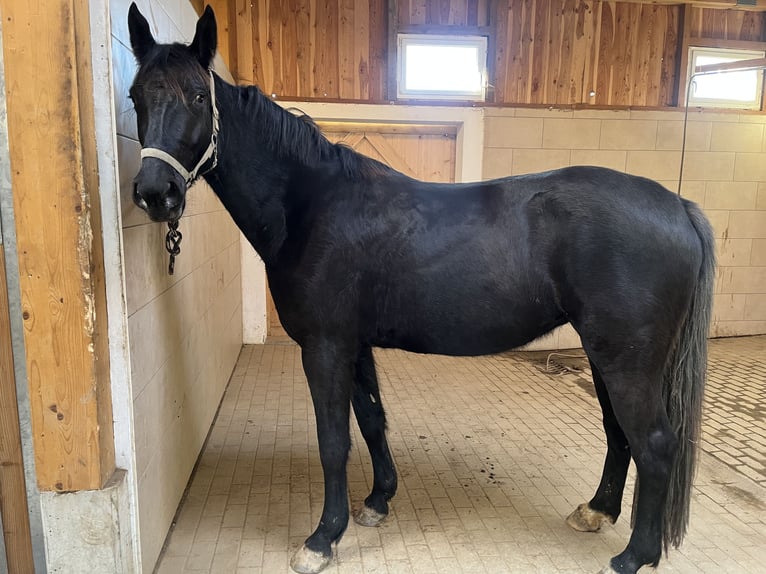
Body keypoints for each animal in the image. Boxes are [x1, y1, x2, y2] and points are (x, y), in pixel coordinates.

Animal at [127, 5, 720, 574]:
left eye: (198, 95)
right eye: (136, 96)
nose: (156, 193)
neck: (312, 204)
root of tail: (677, 206)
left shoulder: (324, 346)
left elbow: (333, 441)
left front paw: (322, 539)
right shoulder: (353, 344)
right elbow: (371, 421)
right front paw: (377, 502)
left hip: (627, 360)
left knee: (654, 444)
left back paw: (633, 557)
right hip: (605, 356)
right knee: (619, 433)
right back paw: (596, 512)